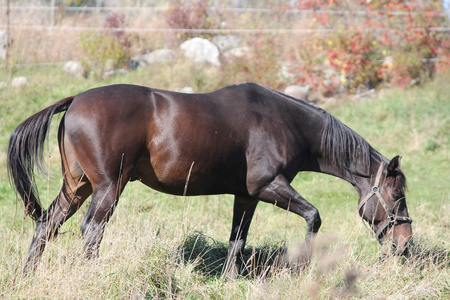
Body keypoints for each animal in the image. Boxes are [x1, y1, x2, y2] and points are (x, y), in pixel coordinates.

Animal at [7, 82, 414, 276]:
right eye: (396, 196)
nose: (405, 245)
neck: (284, 122)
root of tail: (75, 100)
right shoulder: (269, 186)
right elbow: (314, 216)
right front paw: (300, 267)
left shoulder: (247, 196)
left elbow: (237, 239)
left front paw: (232, 279)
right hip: (107, 188)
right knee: (91, 232)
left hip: (77, 187)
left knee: (47, 225)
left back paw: (28, 276)